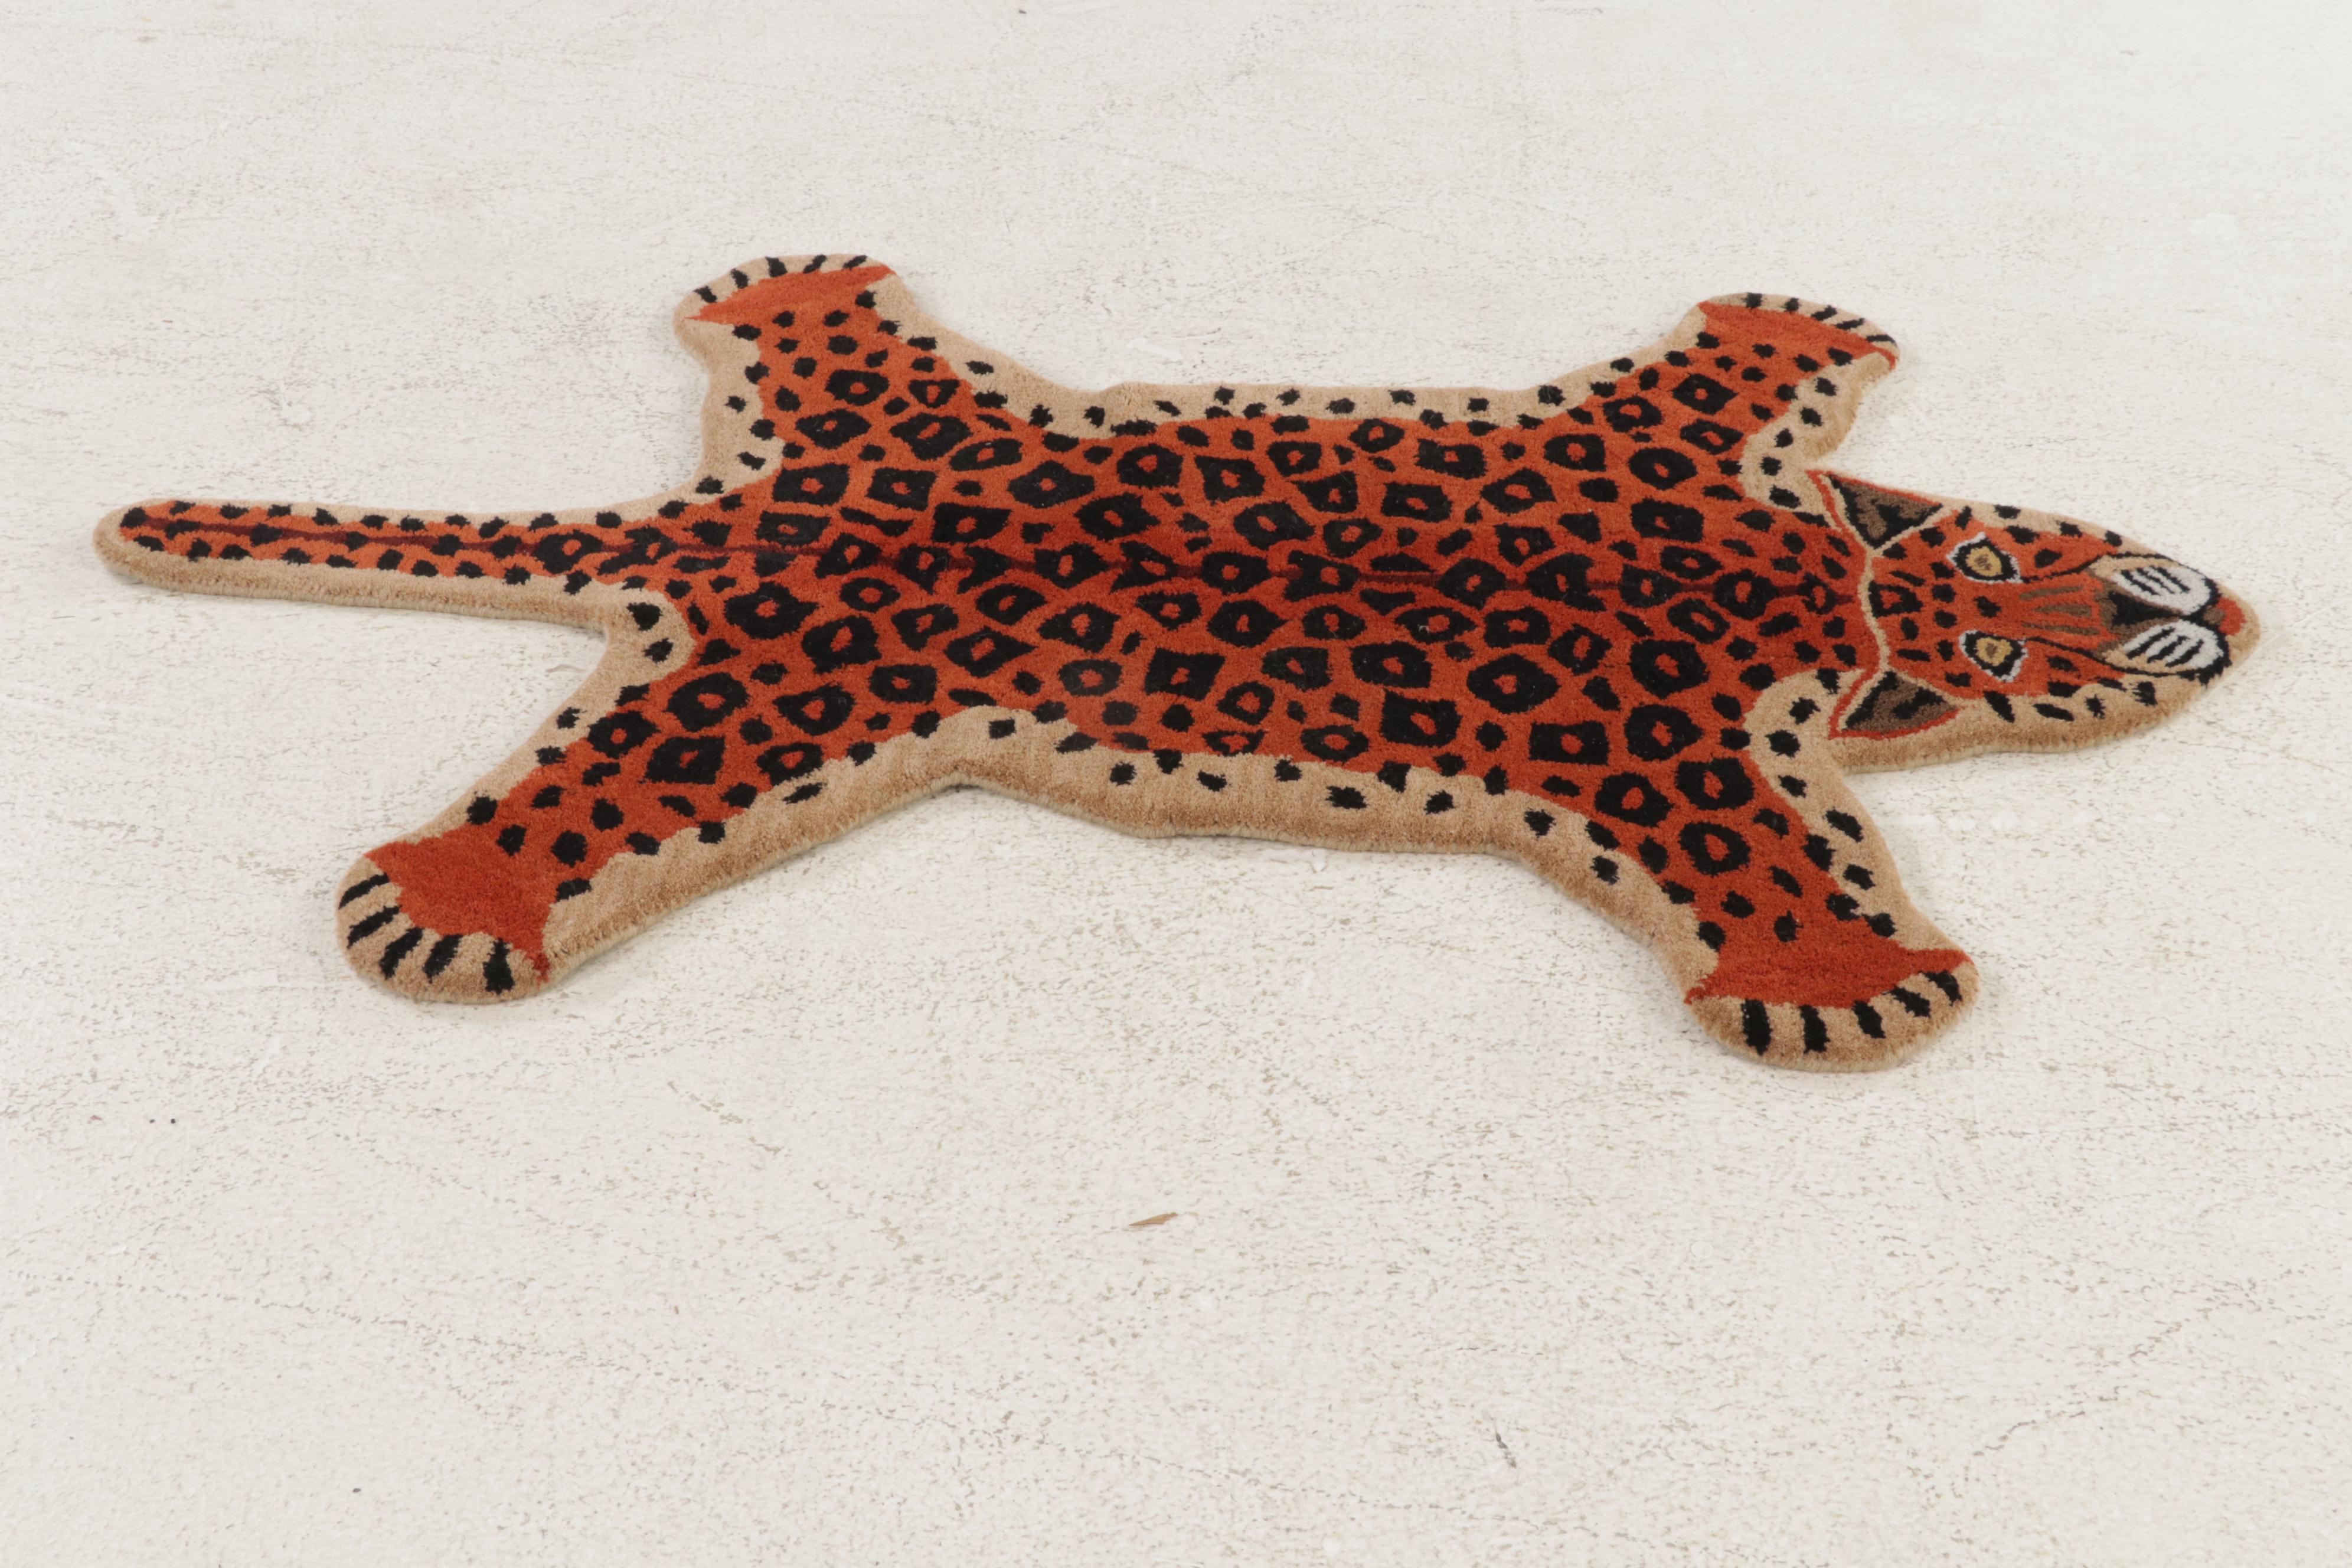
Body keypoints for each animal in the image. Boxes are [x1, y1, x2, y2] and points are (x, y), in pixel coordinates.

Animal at [95, 255, 2258, 1068]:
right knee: (587, 793)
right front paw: (1847, 973)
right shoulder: (1685, 754)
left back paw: (802, 292)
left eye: (2037, 561)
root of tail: (728, 518)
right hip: (786, 697)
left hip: (891, 454)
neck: (1823, 581)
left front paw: (1800, 324)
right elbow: (1775, 855)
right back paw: (458, 884)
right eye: (1993, 600)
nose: (2204, 612)